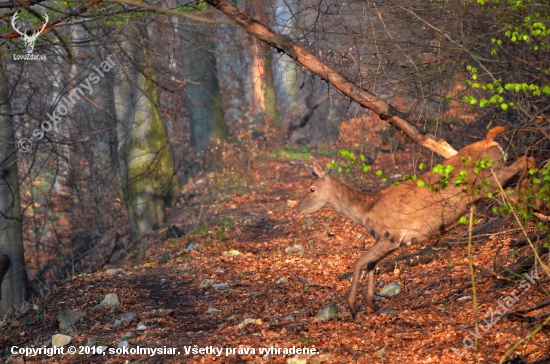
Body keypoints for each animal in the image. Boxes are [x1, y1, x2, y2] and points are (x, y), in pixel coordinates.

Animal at [296, 127, 536, 318]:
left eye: (311, 189)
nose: (297, 211)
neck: (366, 210)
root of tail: (491, 140)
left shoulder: (389, 236)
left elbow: (358, 263)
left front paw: (353, 307)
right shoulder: (391, 242)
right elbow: (371, 265)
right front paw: (372, 305)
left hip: (489, 178)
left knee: (526, 161)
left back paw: (528, 199)